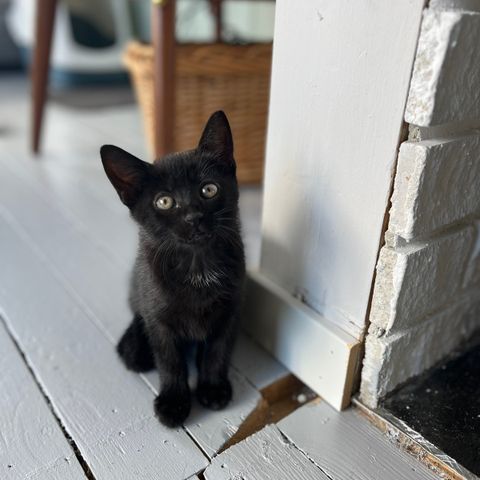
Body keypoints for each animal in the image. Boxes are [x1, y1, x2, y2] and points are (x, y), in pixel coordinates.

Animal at [100, 111, 246, 428]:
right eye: (164, 201)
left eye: (209, 189)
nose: (194, 217)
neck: (198, 266)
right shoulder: (159, 320)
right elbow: (170, 360)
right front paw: (174, 402)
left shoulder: (231, 309)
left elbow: (218, 350)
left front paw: (213, 387)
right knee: (137, 313)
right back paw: (134, 347)